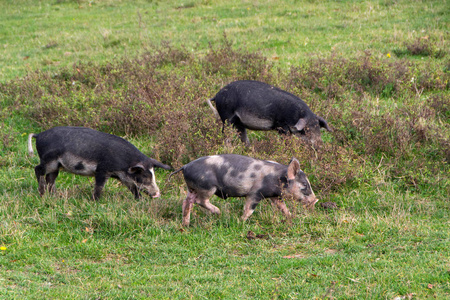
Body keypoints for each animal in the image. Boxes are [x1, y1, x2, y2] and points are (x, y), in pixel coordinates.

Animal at [27, 126, 172, 199]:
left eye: (153, 175)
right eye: (144, 176)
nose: (157, 193)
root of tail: (39, 135)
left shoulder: (125, 178)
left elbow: (134, 189)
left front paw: (139, 200)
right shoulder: (102, 169)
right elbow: (99, 187)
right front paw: (95, 200)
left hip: (56, 166)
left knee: (50, 178)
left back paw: (54, 196)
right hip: (48, 161)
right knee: (37, 169)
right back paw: (42, 193)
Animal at [167, 154, 318, 226]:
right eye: (305, 184)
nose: (315, 200)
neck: (276, 177)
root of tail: (185, 166)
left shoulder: (274, 196)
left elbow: (283, 208)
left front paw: (291, 218)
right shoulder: (255, 193)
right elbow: (249, 209)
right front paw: (241, 221)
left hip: (191, 188)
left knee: (187, 202)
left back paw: (186, 224)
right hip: (207, 187)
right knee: (199, 201)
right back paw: (219, 212)